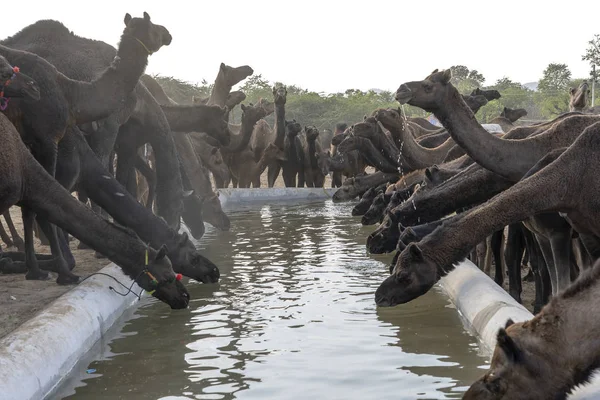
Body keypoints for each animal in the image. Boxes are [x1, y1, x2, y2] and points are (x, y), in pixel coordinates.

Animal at [1, 12, 170, 282]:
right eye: (152, 26)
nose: (168, 34)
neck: (71, 93)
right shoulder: (46, 139)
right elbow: (47, 199)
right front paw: (61, 269)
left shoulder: (34, 143)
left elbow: (33, 204)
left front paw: (34, 268)